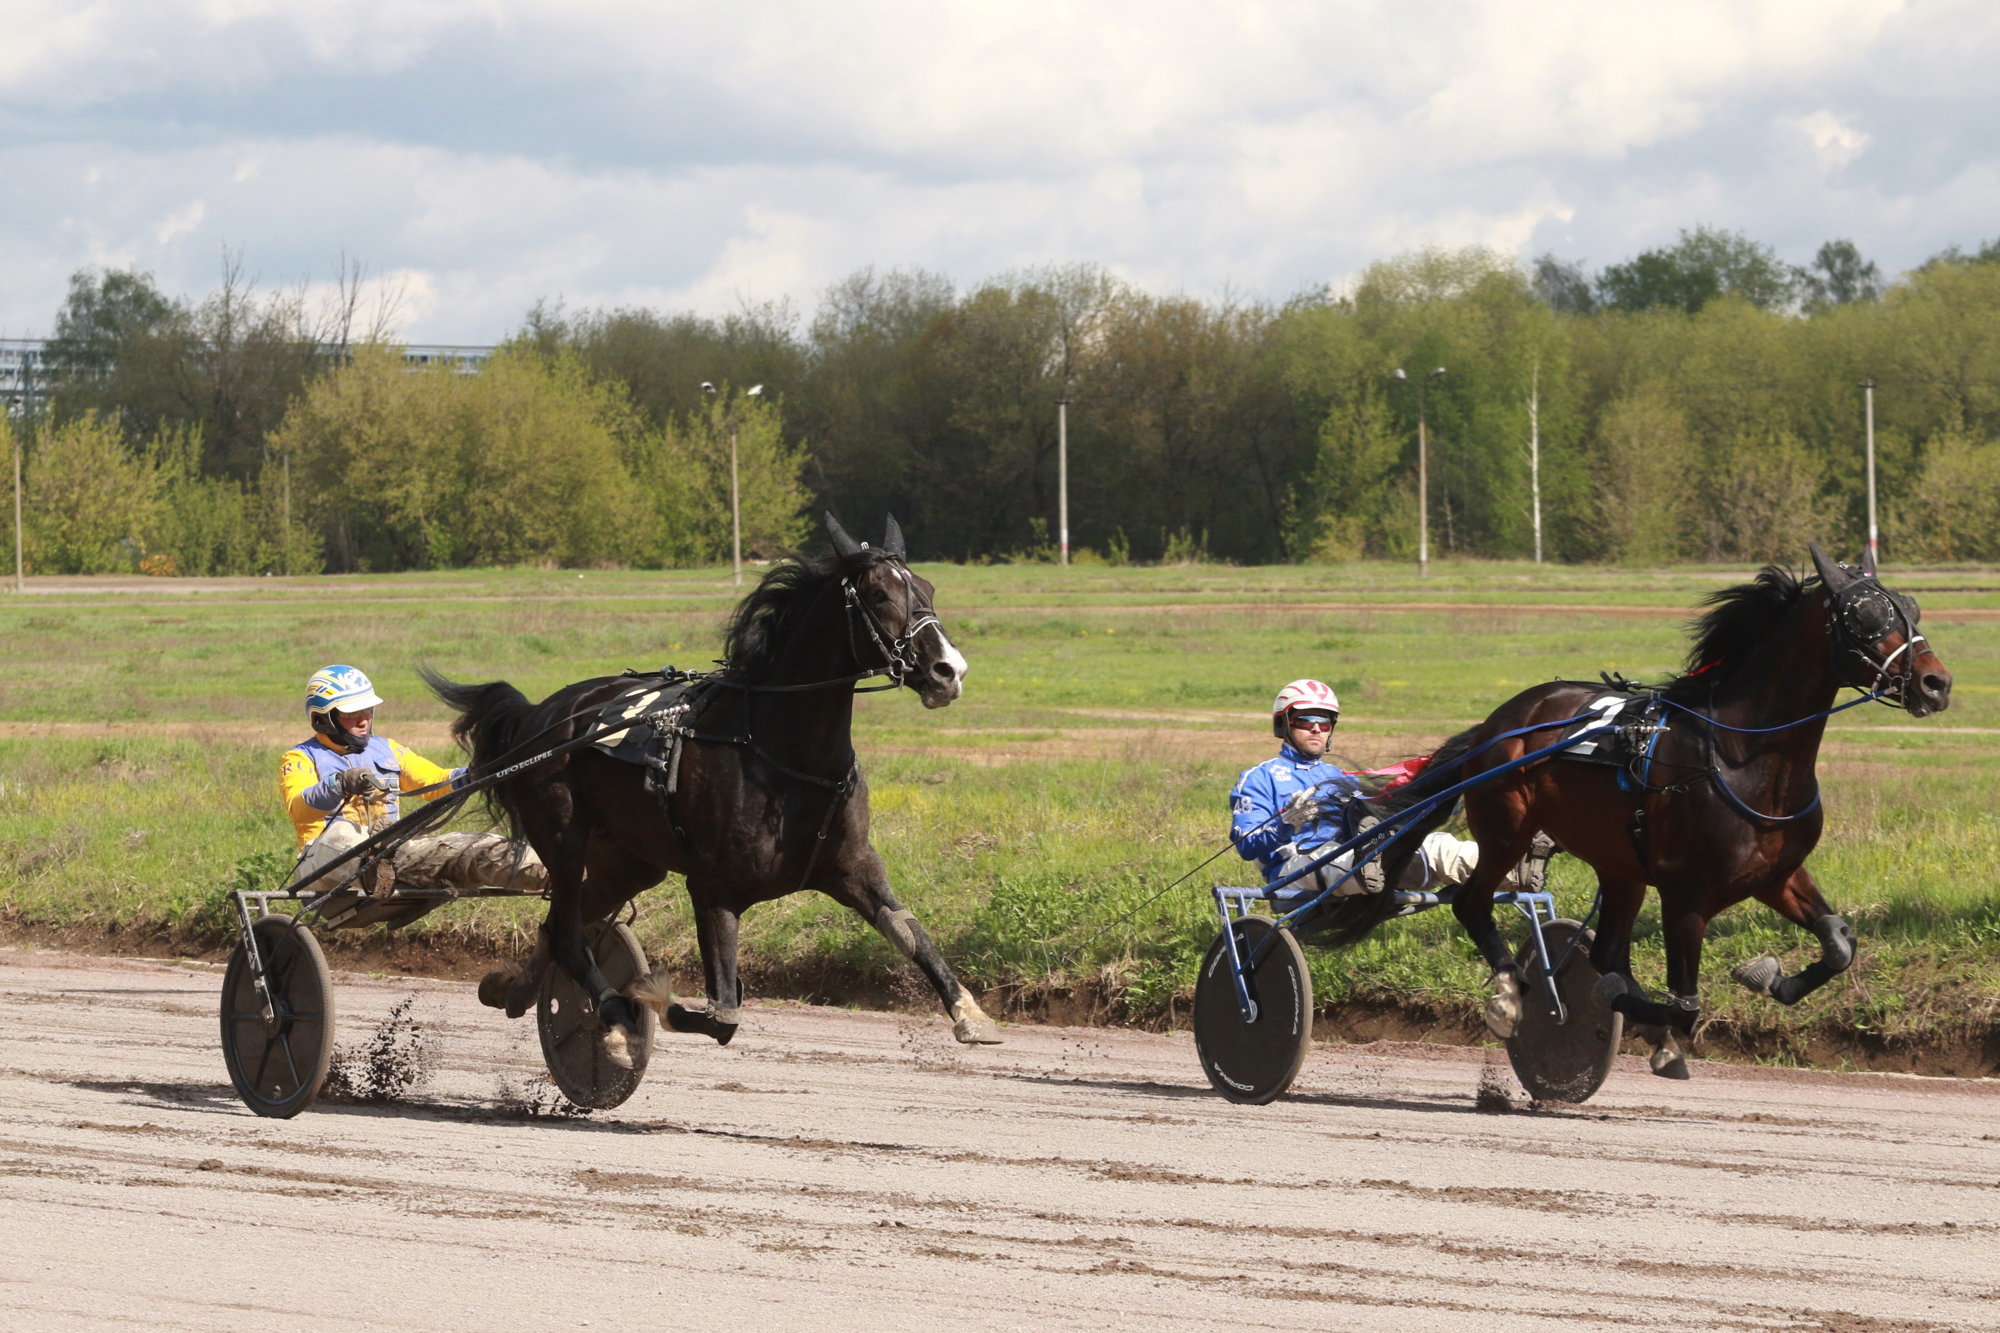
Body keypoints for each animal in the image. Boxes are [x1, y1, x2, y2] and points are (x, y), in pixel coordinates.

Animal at [432, 512, 1008, 1064]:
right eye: (880, 595)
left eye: (927, 588)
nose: (948, 671)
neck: (785, 755)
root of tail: (540, 717)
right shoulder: (713, 888)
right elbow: (724, 1012)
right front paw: (649, 998)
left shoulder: (853, 867)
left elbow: (910, 932)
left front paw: (971, 1014)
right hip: (563, 836)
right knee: (571, 936)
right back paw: (615, 1021)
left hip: (628, 862)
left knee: (558, 929)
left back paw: (513, 989)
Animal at [1368, 544, 1944, 1072]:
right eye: (1865, 615)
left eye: (1911, 607)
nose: (1936, 683)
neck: (1740, 753)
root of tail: (1502, 720)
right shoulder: (1686, 895)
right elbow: (1684, 1006)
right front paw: (1620, 1006)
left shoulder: (1775, 875)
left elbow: (1839, 942)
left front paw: (1769, 978)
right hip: (1508, 828)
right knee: (1472, 903)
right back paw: (1511, 997)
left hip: (1620, 864)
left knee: (1606, 951)